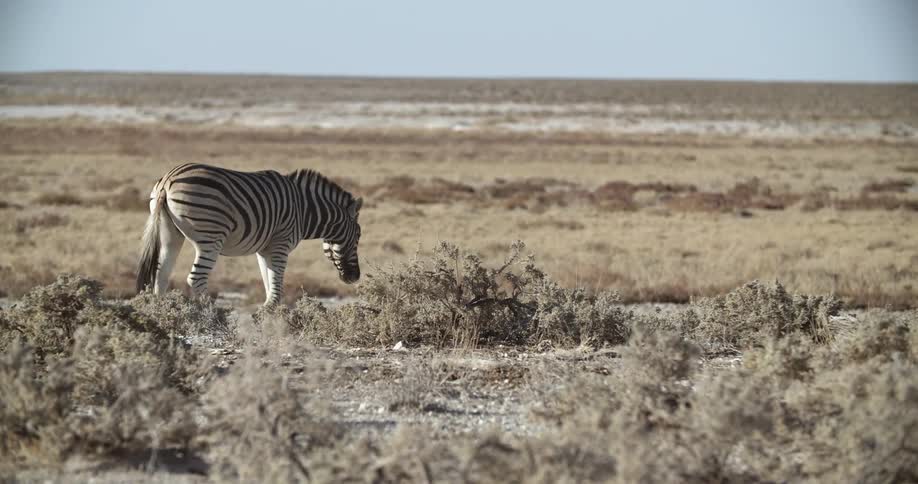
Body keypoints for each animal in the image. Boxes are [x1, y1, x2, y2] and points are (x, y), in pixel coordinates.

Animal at [136, 163, 362, 306]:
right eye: (358, 238)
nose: (355, 277)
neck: (304, 209)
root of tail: (168, 180)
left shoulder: (265, 249)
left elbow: (268, 281)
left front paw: (269, 313)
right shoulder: (281, 244)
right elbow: (277, 283)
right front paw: (271, 314)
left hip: (170, 234)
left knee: (161, 274)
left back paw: (162, 313)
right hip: (211, 237)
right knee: (196, 277)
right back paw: (214, 315)